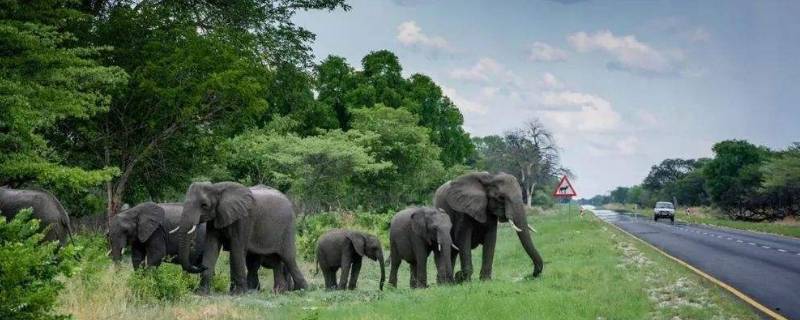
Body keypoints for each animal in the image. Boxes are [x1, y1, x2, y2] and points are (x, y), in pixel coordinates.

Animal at [175, 182, 306, 296]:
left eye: (204, 205)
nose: (201, 265)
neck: (217, 188)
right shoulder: (215, 218)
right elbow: (211, 247)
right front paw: (201, 293)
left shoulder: (243, 220)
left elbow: (237, 250)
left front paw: (238, 294)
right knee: (274, 261)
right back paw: (278, 292)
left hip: (288, 228)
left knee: (288, 257)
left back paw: (302, 290)